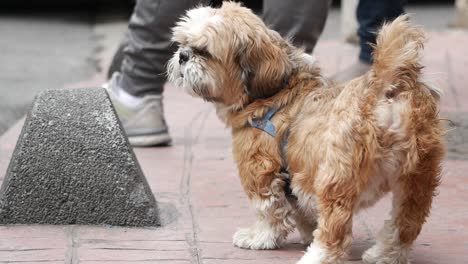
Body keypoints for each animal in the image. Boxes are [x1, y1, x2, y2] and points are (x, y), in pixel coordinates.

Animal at [167, 2, 446, 264]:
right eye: (183, 42)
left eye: (204, 52)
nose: (183, 55)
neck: (276, 92)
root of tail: (385, 86)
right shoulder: (297, 178)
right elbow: (300, 209)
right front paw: (305, 231)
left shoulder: (260, 170)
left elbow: (269, 212)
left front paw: (259, 237)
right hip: (417, 179)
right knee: (405, 224)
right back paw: (385, 254)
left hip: (337, 179)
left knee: (335, 230)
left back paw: (318, 255)